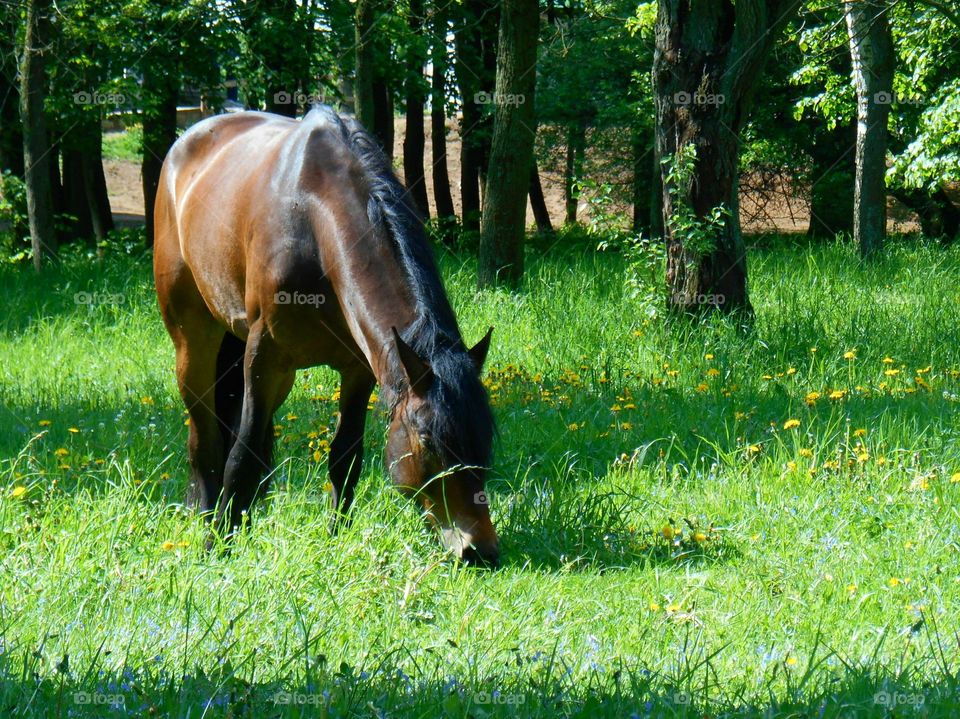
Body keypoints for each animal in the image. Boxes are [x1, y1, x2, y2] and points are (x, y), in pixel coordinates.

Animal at [154, 107, 498, 568]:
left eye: (485, 439)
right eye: (428, 440)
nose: (479, 550)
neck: (316, 223)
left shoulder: (358, 369)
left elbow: (344, 457)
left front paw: (336, 535)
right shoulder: (264, 359)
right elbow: (240, 458)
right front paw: (218, 548)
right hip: (195, 346)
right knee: (206, 440)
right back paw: (209, 515)